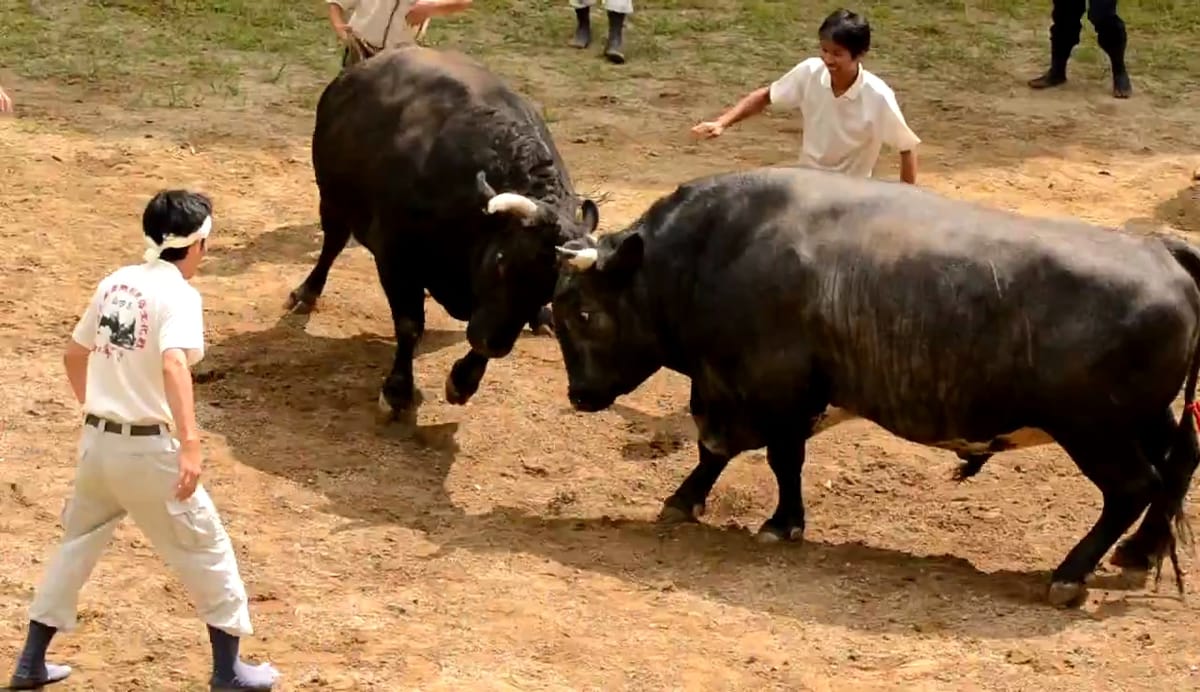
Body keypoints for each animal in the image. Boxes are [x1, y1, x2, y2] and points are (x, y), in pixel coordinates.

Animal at [282, 48, 600, 417]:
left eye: (552, 288)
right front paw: (397, 391)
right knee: (332, 245)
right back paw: (306, 293)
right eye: (501, 261)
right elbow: (409, 325)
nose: (494, 343)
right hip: (332, 201)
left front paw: (463, 381)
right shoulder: (396, 258)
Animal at [549, 167, 1200, 609]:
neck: (714, 252)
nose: (578, 395)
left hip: (1096, 431)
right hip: (1146, 418)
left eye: (581, 312)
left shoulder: (765, 390)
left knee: (1134, 486)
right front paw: (710, 505)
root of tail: (1158, 249)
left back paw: (1071, 572)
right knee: (1178, 464)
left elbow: (756, 454)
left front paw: (766, 519)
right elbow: (739, 454)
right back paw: (1140, 552)